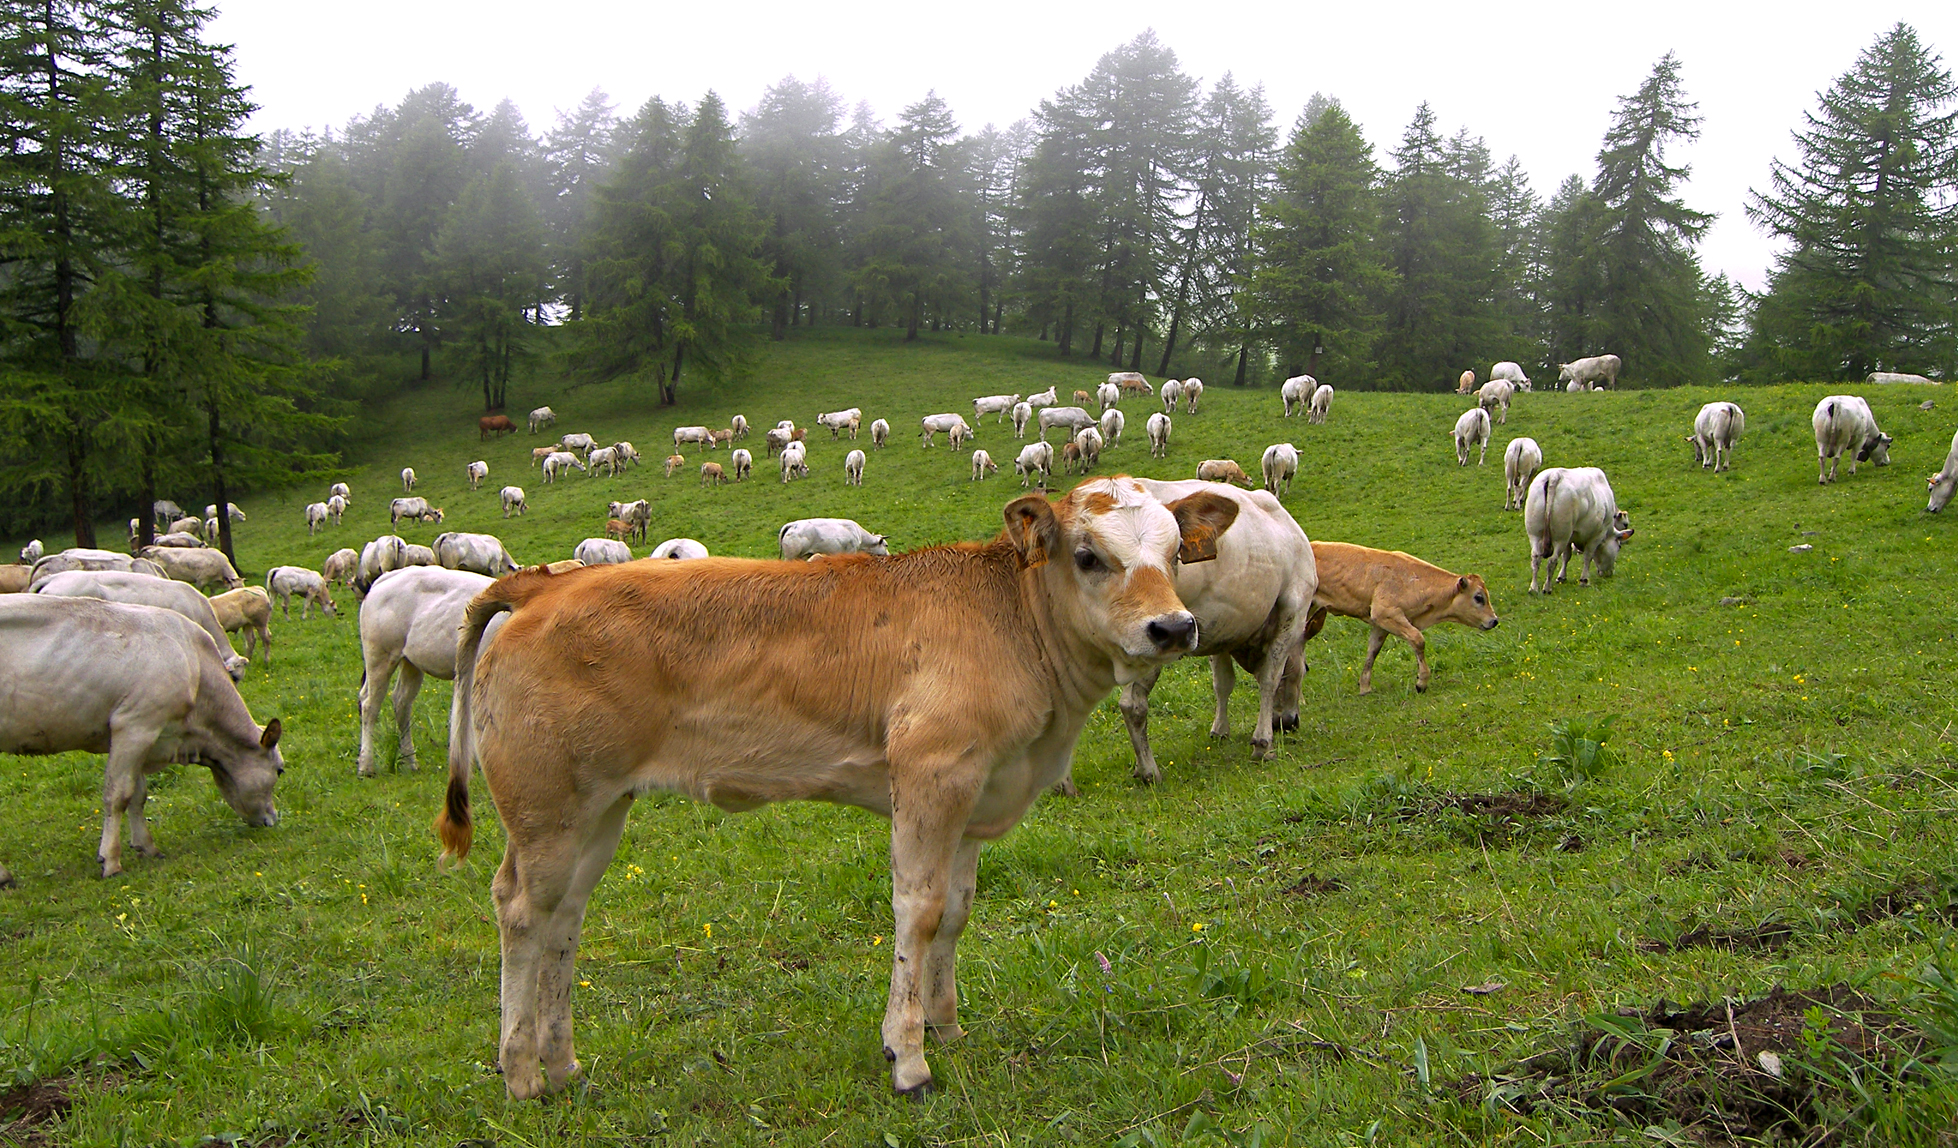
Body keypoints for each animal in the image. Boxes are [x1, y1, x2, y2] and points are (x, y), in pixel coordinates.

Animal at [0, 591, 283, 877]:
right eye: (280, 770)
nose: (273, 817)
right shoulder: (136, 725)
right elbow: (118, 794)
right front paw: (111, 860)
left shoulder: (144, 737)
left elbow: (138, 793)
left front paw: (145, 845)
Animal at [358, 560, 505, 771]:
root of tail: (387, 577)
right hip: (379, 655)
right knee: (370, 705)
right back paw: (366, 765)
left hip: (410, 662)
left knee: (401, 700)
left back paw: (410, 760)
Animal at [436, 476, 1237, 1097]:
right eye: (1089, 556)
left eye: (1174, 553)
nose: (1172, 628)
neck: (1013, 624)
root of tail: (542, 585)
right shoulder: (932, 773)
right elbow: (919, 911)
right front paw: (908, 1056)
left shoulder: (976, 793)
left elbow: (956, 911)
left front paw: (945, 1025)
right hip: (545, 808)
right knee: (521, 911)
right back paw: (522, 1074)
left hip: (598, 807)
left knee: (564, 919)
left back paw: (563, 1064)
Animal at [1307, 540, 1503, 693]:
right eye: (1479, 597)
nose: (1494, 620)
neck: (1410, 581)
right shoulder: (1387, 614)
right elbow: (1418, 639)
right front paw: (1421, 682)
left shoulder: (1381, 624)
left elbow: (1373, 651)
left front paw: (1364, 687)